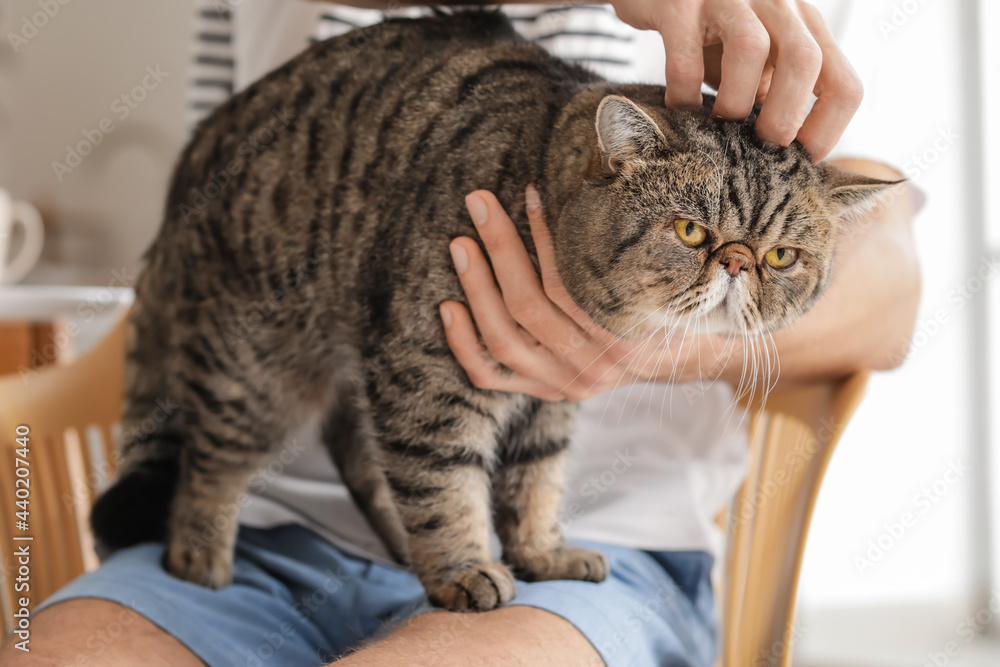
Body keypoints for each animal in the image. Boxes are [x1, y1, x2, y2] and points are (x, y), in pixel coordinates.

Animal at [90, 11, 896, 616]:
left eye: (783, 256)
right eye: (692, 232)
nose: (736, 264)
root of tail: (197, 150)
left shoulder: (546, 395)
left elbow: (533, 479)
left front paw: (539, 552)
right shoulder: (425, 370)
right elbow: (442, 479)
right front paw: (462, 567)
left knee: (354, 448)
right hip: (256, 370)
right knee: (212, 459)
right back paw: (199, 554)